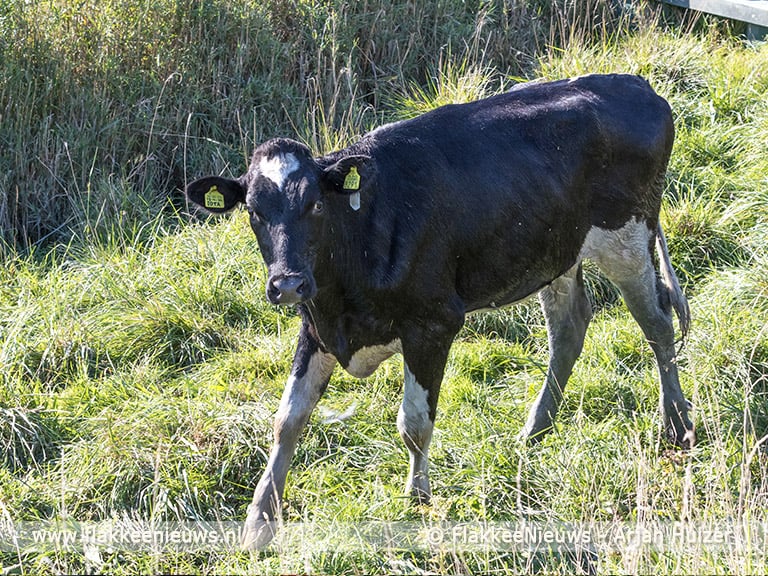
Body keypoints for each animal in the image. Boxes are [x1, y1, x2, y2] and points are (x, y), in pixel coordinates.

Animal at [186, 74, 694, 549]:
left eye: (313, 203)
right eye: (254, 211)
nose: (288, 283)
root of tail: (632, 82)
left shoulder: (432, 324)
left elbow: (413, 423)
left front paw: (418, 500)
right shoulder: (317, 326)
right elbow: (287, 420)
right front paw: (259, 519)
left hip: (627, 236)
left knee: (657, 324)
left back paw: (678, 425)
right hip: (556, 252)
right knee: (569, 329)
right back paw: (535, 430)